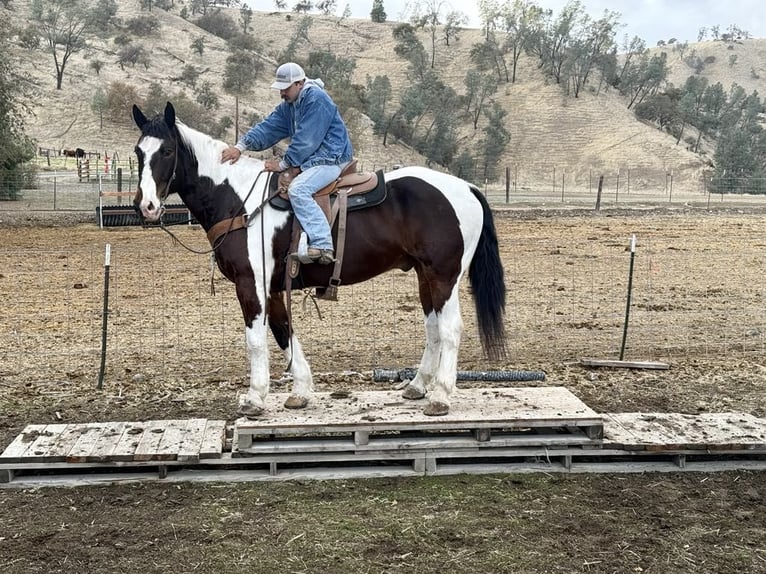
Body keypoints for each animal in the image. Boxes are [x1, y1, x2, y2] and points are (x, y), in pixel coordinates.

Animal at [131, 101, 507, 417]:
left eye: (167, 150)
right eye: (138, 152)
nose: (146, 206)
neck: (239, 199)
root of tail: (467, 187)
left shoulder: (251, 283)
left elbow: (255, 340)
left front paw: (254, 398)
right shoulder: (273, 287)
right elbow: (283, 331)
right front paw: (300, 390)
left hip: (444, 276)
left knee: (450, 328)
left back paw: (441, 396)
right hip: (424, 275)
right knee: (433, 328)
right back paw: (417, 386)